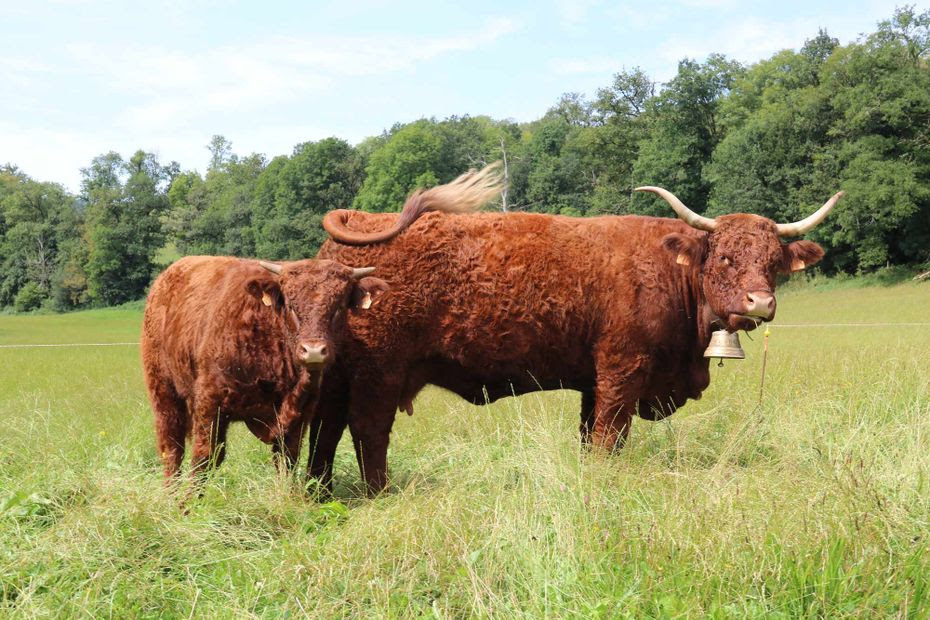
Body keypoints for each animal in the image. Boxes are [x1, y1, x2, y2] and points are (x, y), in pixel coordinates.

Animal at [140, 256, 386, 490]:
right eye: (291, 306)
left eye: (339, 306)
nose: (314, 351)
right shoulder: (210, 402)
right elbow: (204, 457)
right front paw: (189, 503)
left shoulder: (298, 414)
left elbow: (287, 460)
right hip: (164, 392)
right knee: (172, 449)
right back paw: (171, 494)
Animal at [312, 165, 840, 494]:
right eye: (726, 257)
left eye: (773, 263)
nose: (761, 303)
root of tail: (359, 224)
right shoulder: (622, 371)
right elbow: (610, 436)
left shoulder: (593, 381)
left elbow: (589, 437)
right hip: (379, 372)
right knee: (368, 429)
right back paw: (378, 492)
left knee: (327, 430)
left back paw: (321, 492)